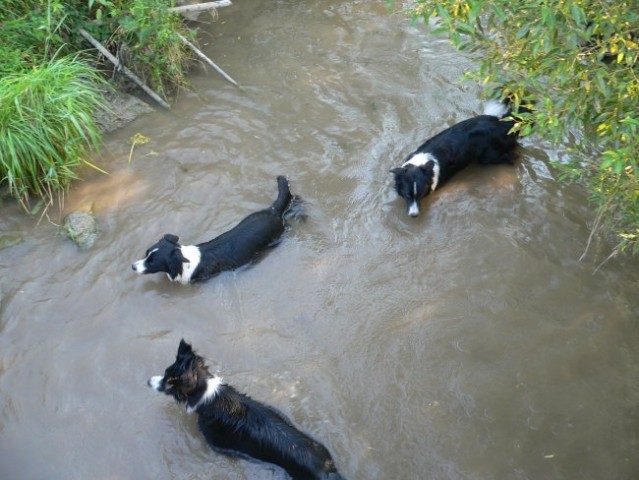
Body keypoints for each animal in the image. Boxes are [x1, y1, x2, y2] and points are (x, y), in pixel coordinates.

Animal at [148, 342, 348, 480]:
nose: (148, 381)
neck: (208, 395)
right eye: (165, 373)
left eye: (167, 380)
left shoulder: (216, 442)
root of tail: (328, 468)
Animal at [392, 101, 524, 218]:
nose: (414, 215)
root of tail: (502, 122)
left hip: (488, 157)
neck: (421, 163)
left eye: (420, 195)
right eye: (407, 196)